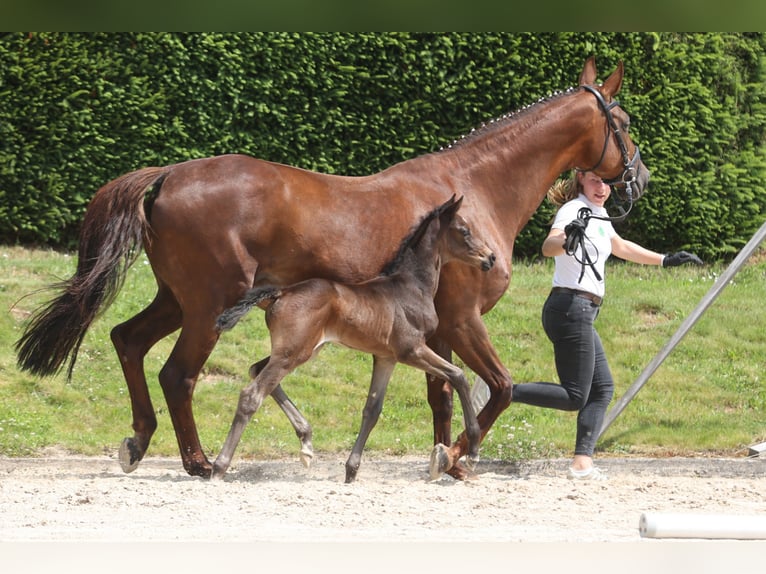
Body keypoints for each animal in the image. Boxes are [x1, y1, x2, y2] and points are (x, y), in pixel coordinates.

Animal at [212, 196, 498, 484]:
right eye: (465, 230)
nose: (490, 257)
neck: (412, 286)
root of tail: (282, 292)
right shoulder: (411, 350)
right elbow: (458, 375)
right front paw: (474, 452)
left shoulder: (385, 358)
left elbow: (372, 409)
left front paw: (351, 470)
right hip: (293, 353)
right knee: (252, 394)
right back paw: (219, 467)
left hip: (301, 350)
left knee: (257, 369)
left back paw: (306, 443)